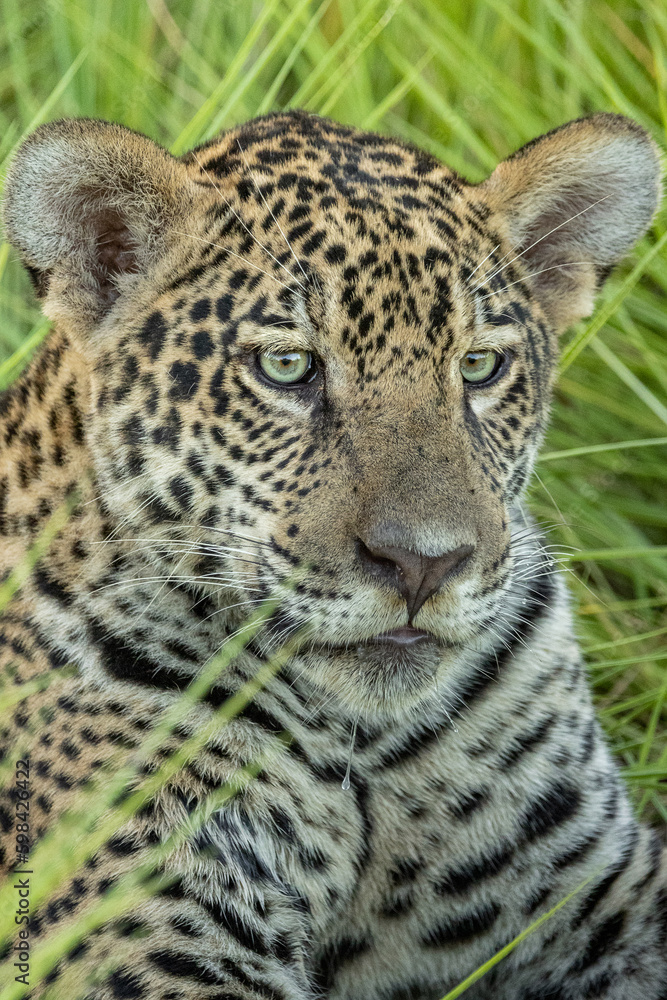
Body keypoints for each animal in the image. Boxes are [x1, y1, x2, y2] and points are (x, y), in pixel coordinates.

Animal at [0, 107, 665, 1000]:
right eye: (288, 367)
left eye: (479, 366)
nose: (424, 564)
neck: (368, 755)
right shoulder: (143, 938)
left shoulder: (599, 889)